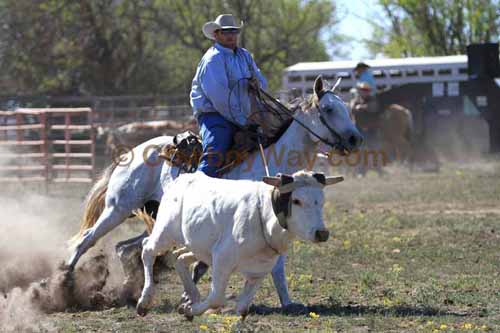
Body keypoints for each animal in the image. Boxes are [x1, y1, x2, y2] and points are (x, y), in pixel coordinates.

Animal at [135, 170, 342, 318]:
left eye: (321, 201)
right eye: (296, 200)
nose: (322, 233)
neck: (263, 217)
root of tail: (182, 179)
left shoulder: (258, 273)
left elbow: (242, 307)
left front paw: (191, 306)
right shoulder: (221, 259)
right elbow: (216, 298)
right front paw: (189, 311)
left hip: (197, 248)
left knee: (179, 258)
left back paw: (192, 296)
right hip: (164, 233)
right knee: (147, 250)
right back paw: (144, 301)